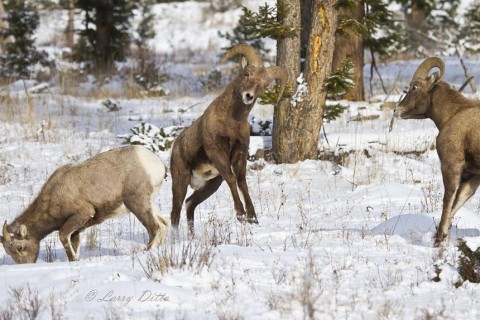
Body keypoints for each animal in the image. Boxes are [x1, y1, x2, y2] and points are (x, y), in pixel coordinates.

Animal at [0, 146, 168, 264]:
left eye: (20, 247)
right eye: (9, 252)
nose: (25, 265)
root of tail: (157, 164)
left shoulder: (82, 213)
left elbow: (63, 237)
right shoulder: (77, 230)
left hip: (137, 203)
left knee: (156, 228)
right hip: (149, 203)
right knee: (164, 225)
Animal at [170, 43, 286, 232]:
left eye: (263, 84)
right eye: (246, 73)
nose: (248, 96)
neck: (231, 121)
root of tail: (175, 147)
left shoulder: (240, 153)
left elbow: (241, 181)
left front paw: (252, 217)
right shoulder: (218, 153)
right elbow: (232, 179)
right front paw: (241, 215)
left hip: (211, 185)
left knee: (189, 204)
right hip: (180, 180)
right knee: (175, 214)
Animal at [394, 56, 480, 244]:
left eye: (414, 87)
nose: (397, 110)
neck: (453, 114)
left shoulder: (451, 166)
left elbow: (448, 200)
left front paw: (439, 238)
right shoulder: (472, 176)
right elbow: (457, 202)